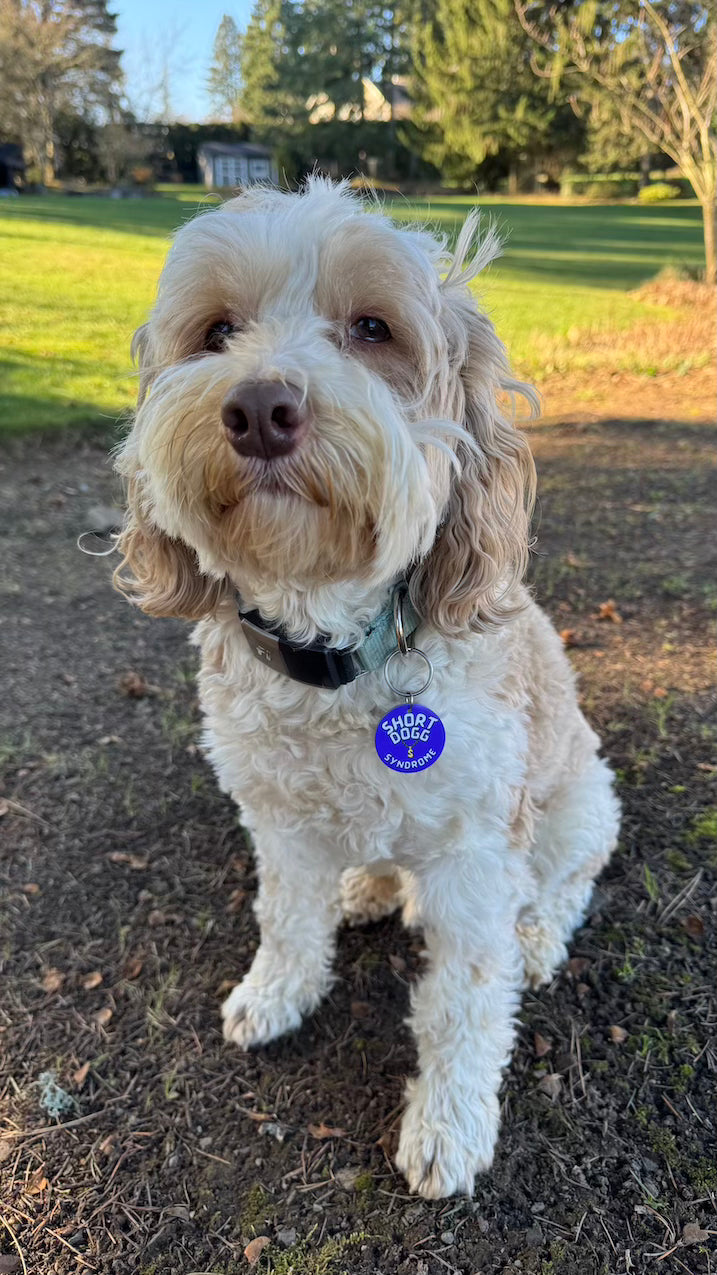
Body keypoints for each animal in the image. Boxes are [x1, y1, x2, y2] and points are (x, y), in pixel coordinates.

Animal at [114, 177, 617, 1193]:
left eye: (373, 328)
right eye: (217, 330)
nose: (259, 407)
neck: (336, 651)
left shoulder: (476, 854)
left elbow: (465, 1000)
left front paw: (448, 1125)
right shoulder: (274, 814)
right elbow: (284, 916)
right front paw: (276, 990)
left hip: (582, 799)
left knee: (563, 885)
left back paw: (535, 937)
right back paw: (371, 884)